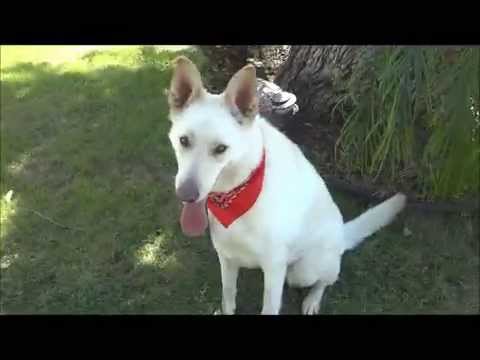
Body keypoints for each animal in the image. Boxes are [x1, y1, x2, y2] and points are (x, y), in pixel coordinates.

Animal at [167, 57, 406, 316]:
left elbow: (269, 307)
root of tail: (342, 235)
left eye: (221, 149)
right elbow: (228, 297)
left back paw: (313, 300)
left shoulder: (274, 269)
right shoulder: (227, 258)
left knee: (325, 281)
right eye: (184, 141)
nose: (186, 195)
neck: (240, 189)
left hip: (302, 272)